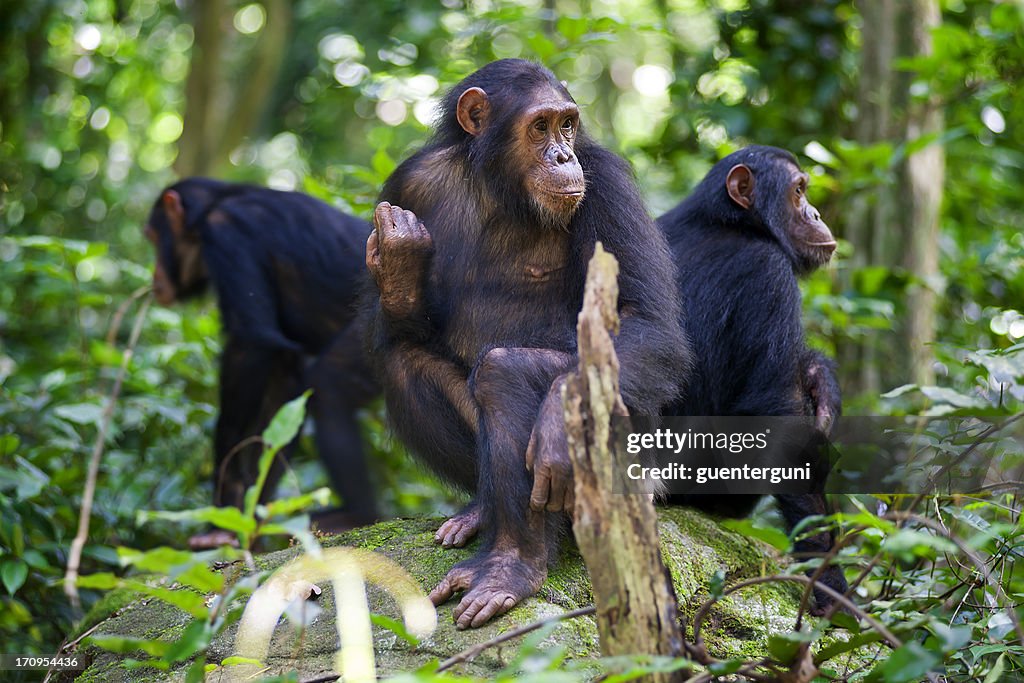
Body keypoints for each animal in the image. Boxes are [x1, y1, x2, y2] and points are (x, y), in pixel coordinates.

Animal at [144, 179, 380, 548]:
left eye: (153, 237)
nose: (154, 274)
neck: (211, 208)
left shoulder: (226, 235)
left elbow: (251, 345)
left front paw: (224, 505)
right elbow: (282, 386)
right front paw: (246, 517)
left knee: (329, 387)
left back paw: (357, 515)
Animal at [362, 60, 688, 630]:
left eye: (567, 125)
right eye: (540, 127)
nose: (562, 155)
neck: (499, 185)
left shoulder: (606, 183)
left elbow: (645, 319)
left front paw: (556, 421)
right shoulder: (409, 182)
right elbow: (403, 334)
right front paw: (399, 260)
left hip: (638, 467)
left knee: (505, 372)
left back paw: (512, 567)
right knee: (404, 363)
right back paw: (482, 518)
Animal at [655, 145, 847, 614]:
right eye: (798, 192)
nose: (816, 212)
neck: (729, 222)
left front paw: (821, 379)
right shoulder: (769, 276)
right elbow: (780, 417)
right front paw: (830, 584)